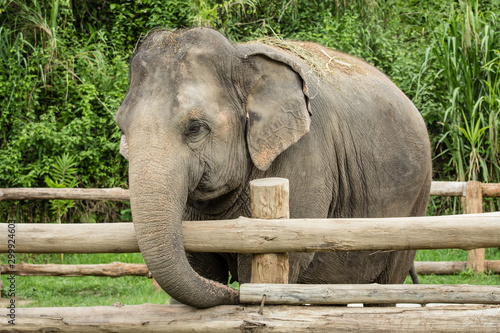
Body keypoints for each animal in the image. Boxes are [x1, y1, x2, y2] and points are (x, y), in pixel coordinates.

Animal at [115, 27, 432, 308]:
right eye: (122, 127)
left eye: (195, 128)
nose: (233, 294)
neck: (239, 54)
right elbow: (199, 266)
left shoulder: (305, 159)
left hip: (416, 200)